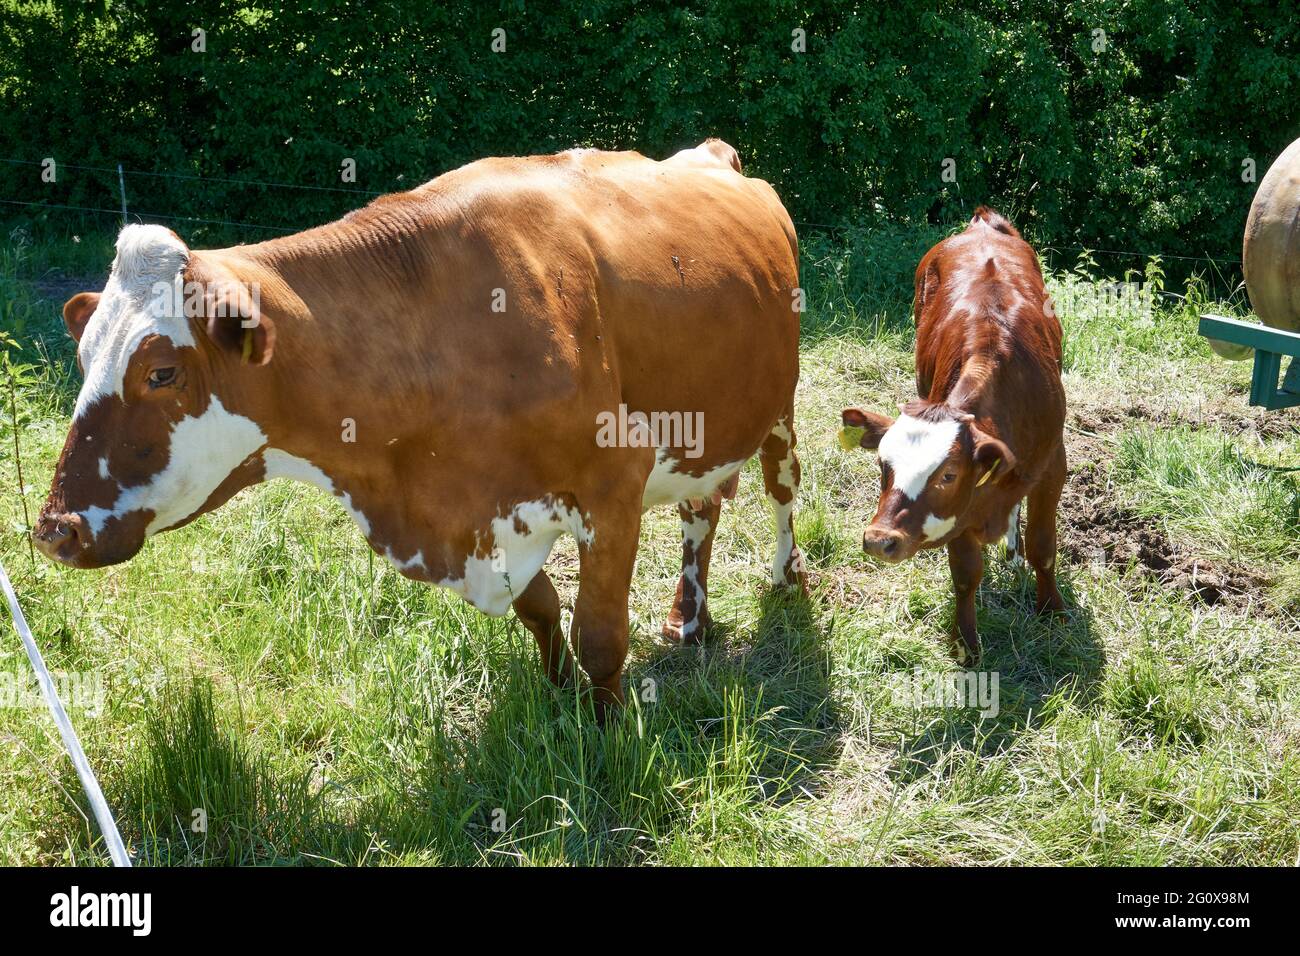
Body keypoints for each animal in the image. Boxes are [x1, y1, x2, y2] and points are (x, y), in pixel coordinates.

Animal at [34, 139, 808, 720]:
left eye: (162, 372)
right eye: (83, 357)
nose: (53, 530)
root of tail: (711, 154)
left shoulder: (613, 485)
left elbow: (601, 635)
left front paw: (608, 727)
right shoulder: (488, 513)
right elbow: (542, 610)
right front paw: (557, 695)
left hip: (780, 405)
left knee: (781, 488)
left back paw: (785, 579)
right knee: (701, 508)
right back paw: (689, 617)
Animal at [838, 207, 1065, 665]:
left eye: (947, 475)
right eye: (882, 466)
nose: (879, 540)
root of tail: (981, 224)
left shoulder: (1053, 466)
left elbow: (1043, 546)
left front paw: (1051, 609)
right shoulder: (964, 512)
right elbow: (965, 574)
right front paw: (966, 644)